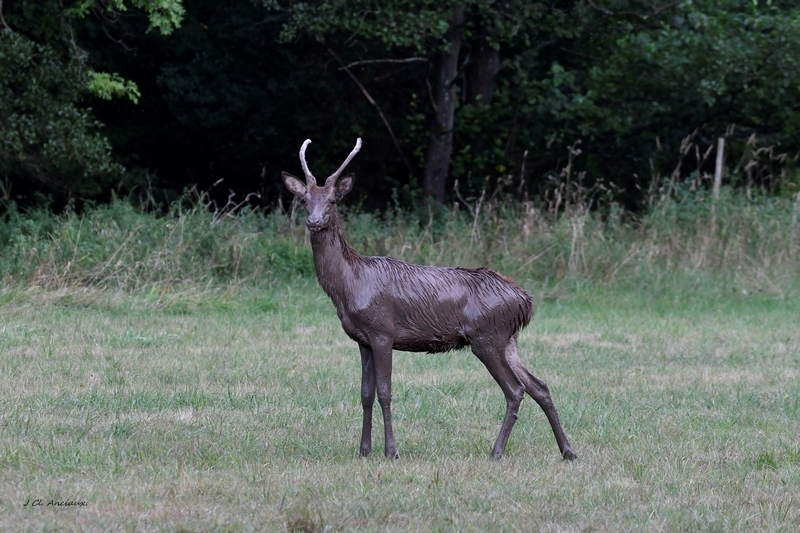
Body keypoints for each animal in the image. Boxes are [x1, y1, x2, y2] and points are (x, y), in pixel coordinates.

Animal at [282, 139, 576, 460]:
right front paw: (363, 451)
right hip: (508, 340)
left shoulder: (383, 331)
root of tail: (525, 301)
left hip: (487, 336)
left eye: (333, 200)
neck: (349, 286)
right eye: (305, 199)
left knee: (515, 389)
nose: (313, 221)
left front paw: (391, 451)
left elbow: (385, 392)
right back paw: (568, 451)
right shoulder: (362, 339)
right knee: (539, 385)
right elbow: (365, 394)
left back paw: (497, 451)